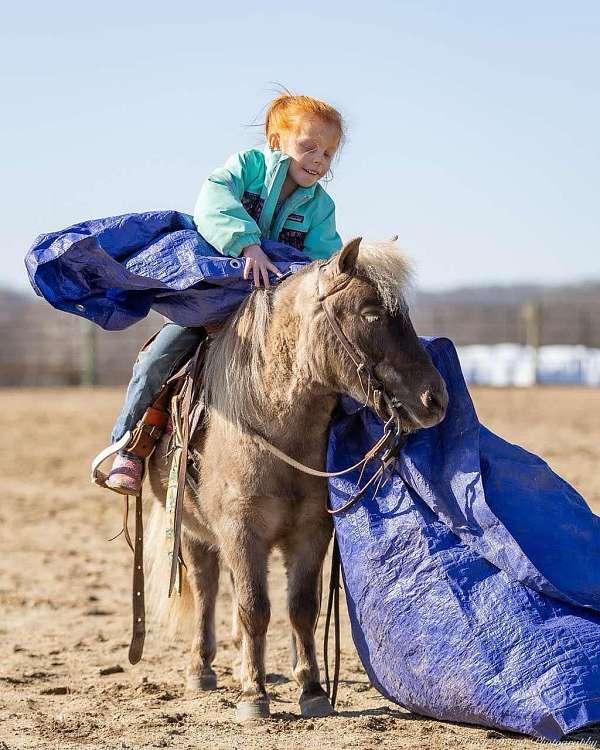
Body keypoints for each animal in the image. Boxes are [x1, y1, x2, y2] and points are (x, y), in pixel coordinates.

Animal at [144, 239, 446, 724]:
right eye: (370, 313)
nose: (435, 400)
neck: (273, 424)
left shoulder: (310, 532)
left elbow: (301, 608)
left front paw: (312, 688)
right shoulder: (241, 531)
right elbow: (254, 608)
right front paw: (253, 695)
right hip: (192, 529)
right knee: (208, 587)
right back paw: (202, 668)